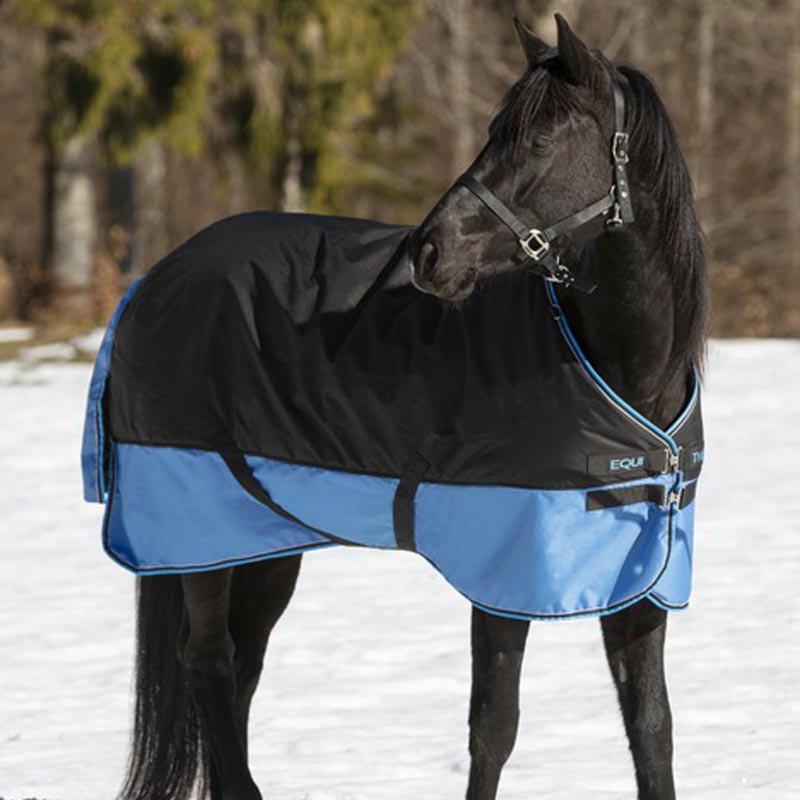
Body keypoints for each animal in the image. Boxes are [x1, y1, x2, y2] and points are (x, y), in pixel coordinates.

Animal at [107, 14, 707, 800]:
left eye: (540, 142)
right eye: (493, 132)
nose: (429, 253)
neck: (621, 374)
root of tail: (153, 280)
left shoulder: (640, 575)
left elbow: (652, 729)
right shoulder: (502, 573)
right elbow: (494, 729)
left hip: (261, 543)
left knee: (240, 667)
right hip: (199, 531)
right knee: (208, 661)